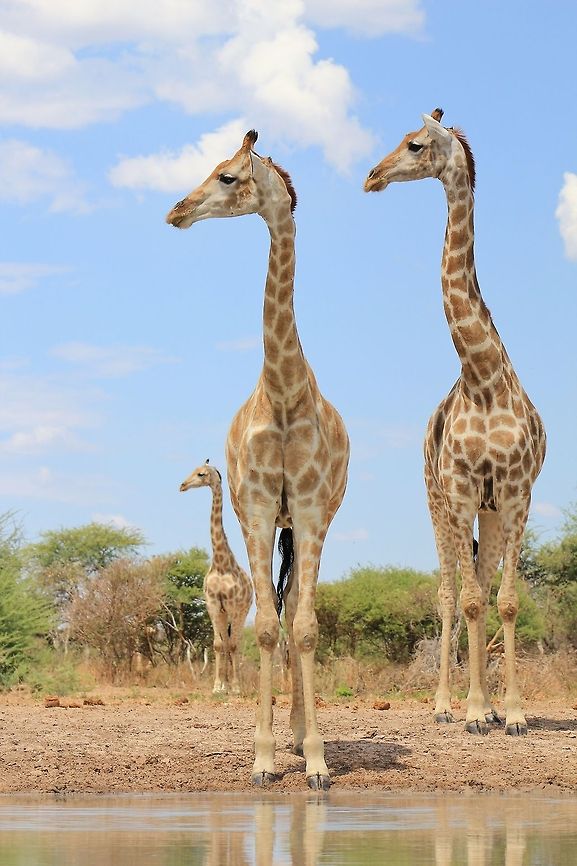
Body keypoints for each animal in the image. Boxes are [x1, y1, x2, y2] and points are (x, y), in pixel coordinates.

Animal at [180, 459, 253, 694]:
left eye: (201, 474)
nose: (182, 485)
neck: (221, 564)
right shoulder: (212, 604)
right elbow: (218, 644)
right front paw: (218, 686)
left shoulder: (232, 605)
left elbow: (232, 645)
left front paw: (234, 687)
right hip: (223, 613)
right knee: (225, 642)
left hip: (242, 611)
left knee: (236, 642)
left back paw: (235, 685)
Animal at [364, 109, 546, 735]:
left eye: (415, 144)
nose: (373, 176)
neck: (482, 377)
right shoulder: (463, 489)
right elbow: (465, 601)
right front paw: (469, 711)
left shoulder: (514, 493)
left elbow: (504, 600)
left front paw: (511, 713)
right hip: (436, 502)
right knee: (448, 595)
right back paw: (448, 705)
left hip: (487, 514)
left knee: (481, 588)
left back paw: (486, 705)